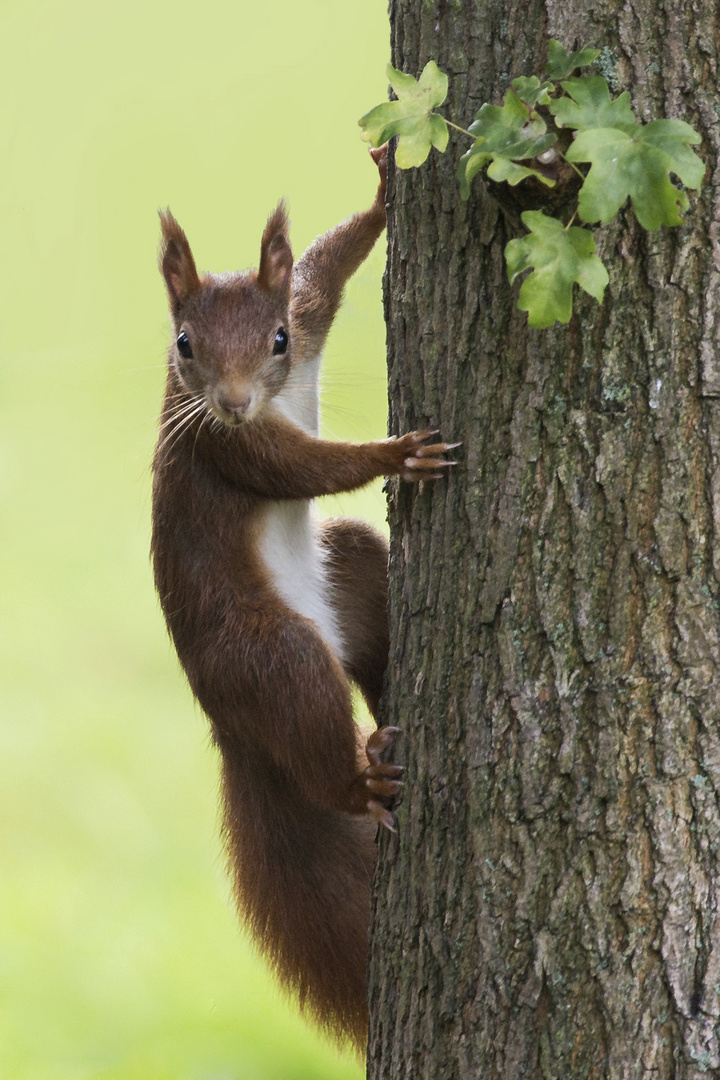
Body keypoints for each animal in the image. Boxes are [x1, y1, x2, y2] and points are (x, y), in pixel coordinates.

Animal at [151, 147, 455, 1049]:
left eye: (278, 339)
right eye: (184, 345)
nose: (233, 401)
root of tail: (234, 732)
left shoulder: (310, 308)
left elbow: (329, 265)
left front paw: (385, 192)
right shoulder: (226, 450)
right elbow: (302, 467)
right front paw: (392, 453)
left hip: (350, 571)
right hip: (271, 653)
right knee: (318, 742)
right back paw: (363, 781)